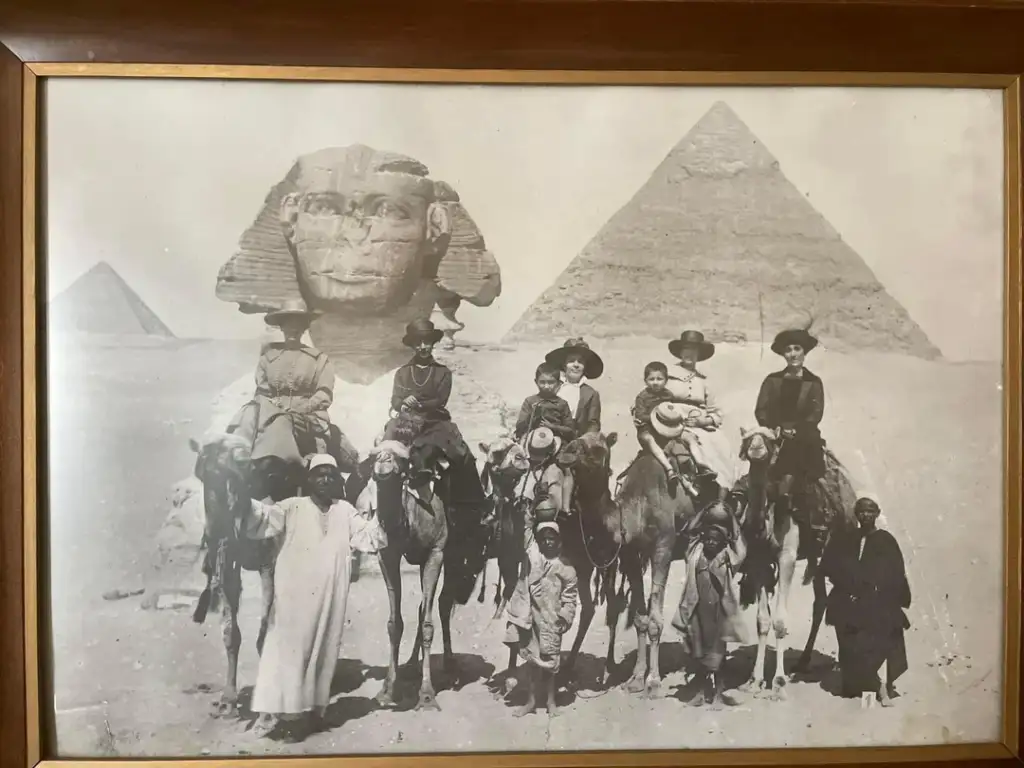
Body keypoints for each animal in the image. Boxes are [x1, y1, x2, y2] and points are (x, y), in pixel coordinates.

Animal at [733, 428, 860, 704]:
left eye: (769, 440)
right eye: (747, 439)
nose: (756, 449)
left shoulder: (787, 557)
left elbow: (780, 621)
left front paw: (778, 684)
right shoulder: (758, 561)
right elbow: (762, 620)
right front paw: (754, 680)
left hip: (837, 548)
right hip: (815, 557)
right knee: (821, 601)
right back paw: (803, 661)